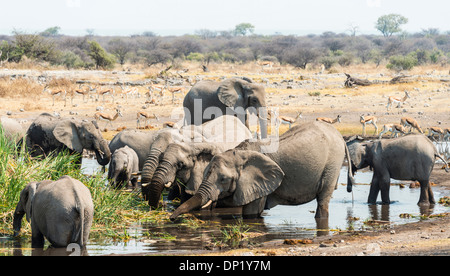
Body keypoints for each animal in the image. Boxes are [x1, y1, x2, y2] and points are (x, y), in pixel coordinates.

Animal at [170, 121, 356, 220]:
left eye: (223, 179)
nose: (171, 218)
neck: (239, 153)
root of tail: (340, 136)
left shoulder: (257, 182)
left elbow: (251, 214)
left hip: (332, 162)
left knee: (323, 197)